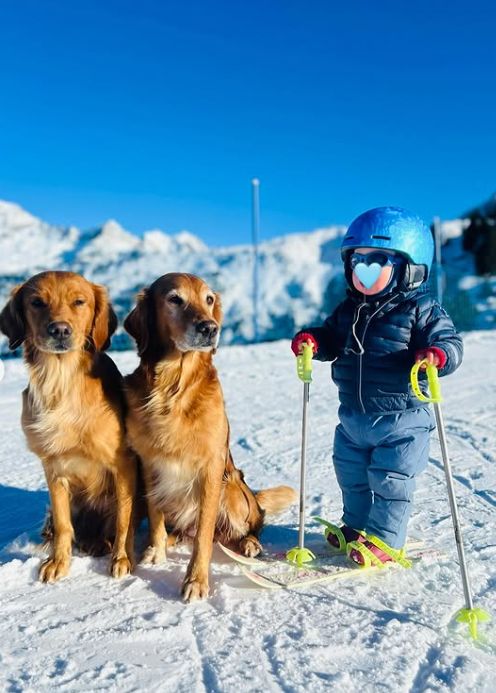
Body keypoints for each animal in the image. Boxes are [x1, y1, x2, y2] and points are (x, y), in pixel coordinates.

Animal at [0, 270, 136, 580]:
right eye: (37, 302)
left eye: (79, 302)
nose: (60, 330)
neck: (61, 380)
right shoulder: (53, 467)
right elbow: (64, 524)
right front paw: (58, 562)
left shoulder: (122, 464)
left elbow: (125, 518)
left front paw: (122, 559)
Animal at [124, 272, 296, 600]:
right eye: (174, 299)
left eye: (209, 299)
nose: (210, 328)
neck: (173, 387)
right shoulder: (150, 463)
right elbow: (155, 515)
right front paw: (155, 552)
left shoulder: (210, 467)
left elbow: (204, 533)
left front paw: (196, 580)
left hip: (232, 488)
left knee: (245, 527)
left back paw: (249, 544)